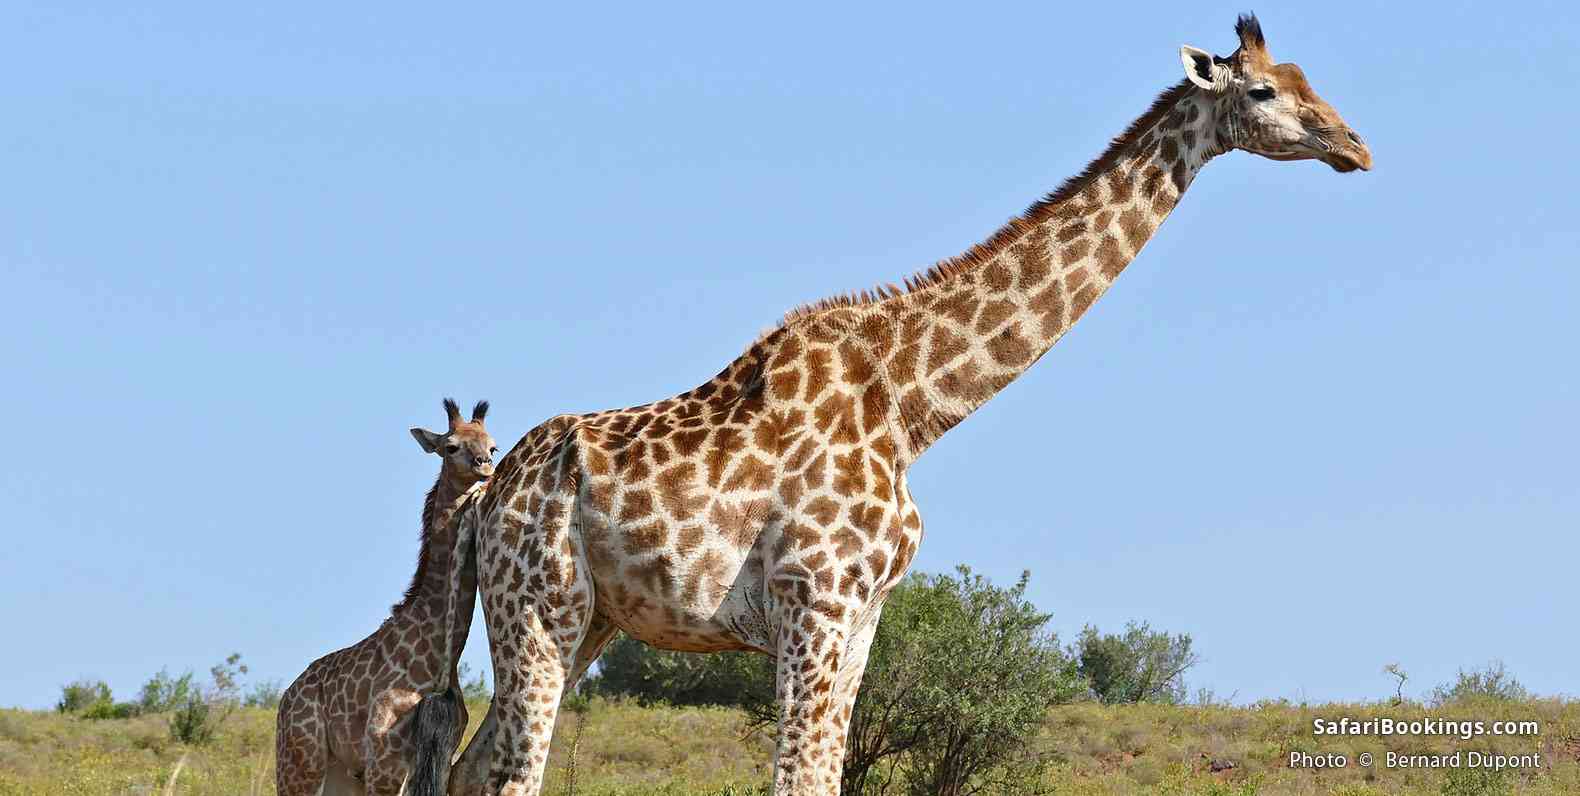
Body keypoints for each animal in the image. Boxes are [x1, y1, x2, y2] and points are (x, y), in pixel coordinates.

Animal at [274, 401, 499, 792]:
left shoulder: (439, 753)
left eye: (493, 446)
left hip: (341, 773)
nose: (484, 465)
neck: (439, 656)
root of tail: (286, 700)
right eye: (451, 446)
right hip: (300, 764)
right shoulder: (384, 759)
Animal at [432, 14, 1371, 796]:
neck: (914, 405)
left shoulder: (862, 616)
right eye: (1264, 91)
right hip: (540, 609)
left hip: (587, 618)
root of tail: (489, 498)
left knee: (472, 764)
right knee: (510, 769)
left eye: (1306, 77)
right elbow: (800, 777)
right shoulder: (813, 601)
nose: (1356, 146)